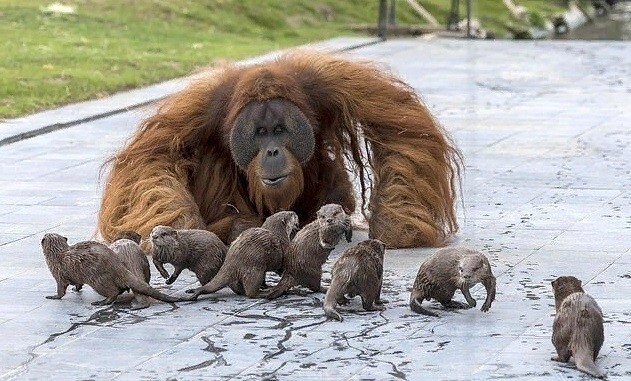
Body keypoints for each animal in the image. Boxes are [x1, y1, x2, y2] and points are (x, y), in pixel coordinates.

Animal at [40, 232, 185, 306]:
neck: (57, 255)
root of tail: (118, 266)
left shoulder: (58, 273)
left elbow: (61, 289)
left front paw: (53, 296)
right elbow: (78, 283)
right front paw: (76, 289)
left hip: (98, 280)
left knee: (113, 292)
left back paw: (101, 302)